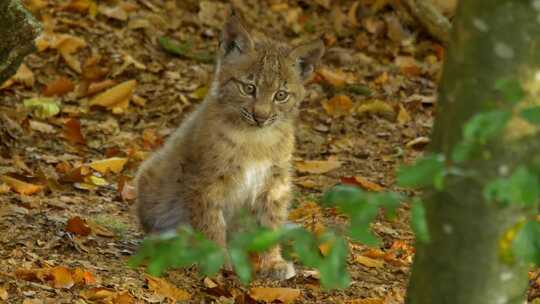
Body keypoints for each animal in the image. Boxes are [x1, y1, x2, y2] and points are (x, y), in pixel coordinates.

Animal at [137, 10, 324, 280]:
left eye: (280, 95)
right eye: (249, 88)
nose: (261, 117)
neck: (256, 137)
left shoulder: (276, 181)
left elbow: (271, 221)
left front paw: (273, 262)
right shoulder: (206, 179)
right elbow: (211, 221)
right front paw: (218, 259)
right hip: (150, 175)